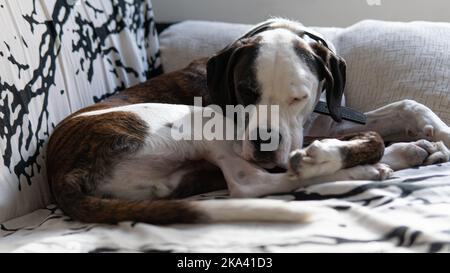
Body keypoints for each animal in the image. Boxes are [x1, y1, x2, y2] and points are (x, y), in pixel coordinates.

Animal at [44, 18, 450, 223]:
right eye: (245, 90)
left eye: (299, 95)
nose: (264, 143)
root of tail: (61, 170)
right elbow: (370, 140)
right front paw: (331, 158)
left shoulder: (329, 120)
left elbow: (405, 106)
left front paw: (437, 132)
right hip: (202, 121)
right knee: (249, 183)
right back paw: (364, 169)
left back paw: (412, 151)